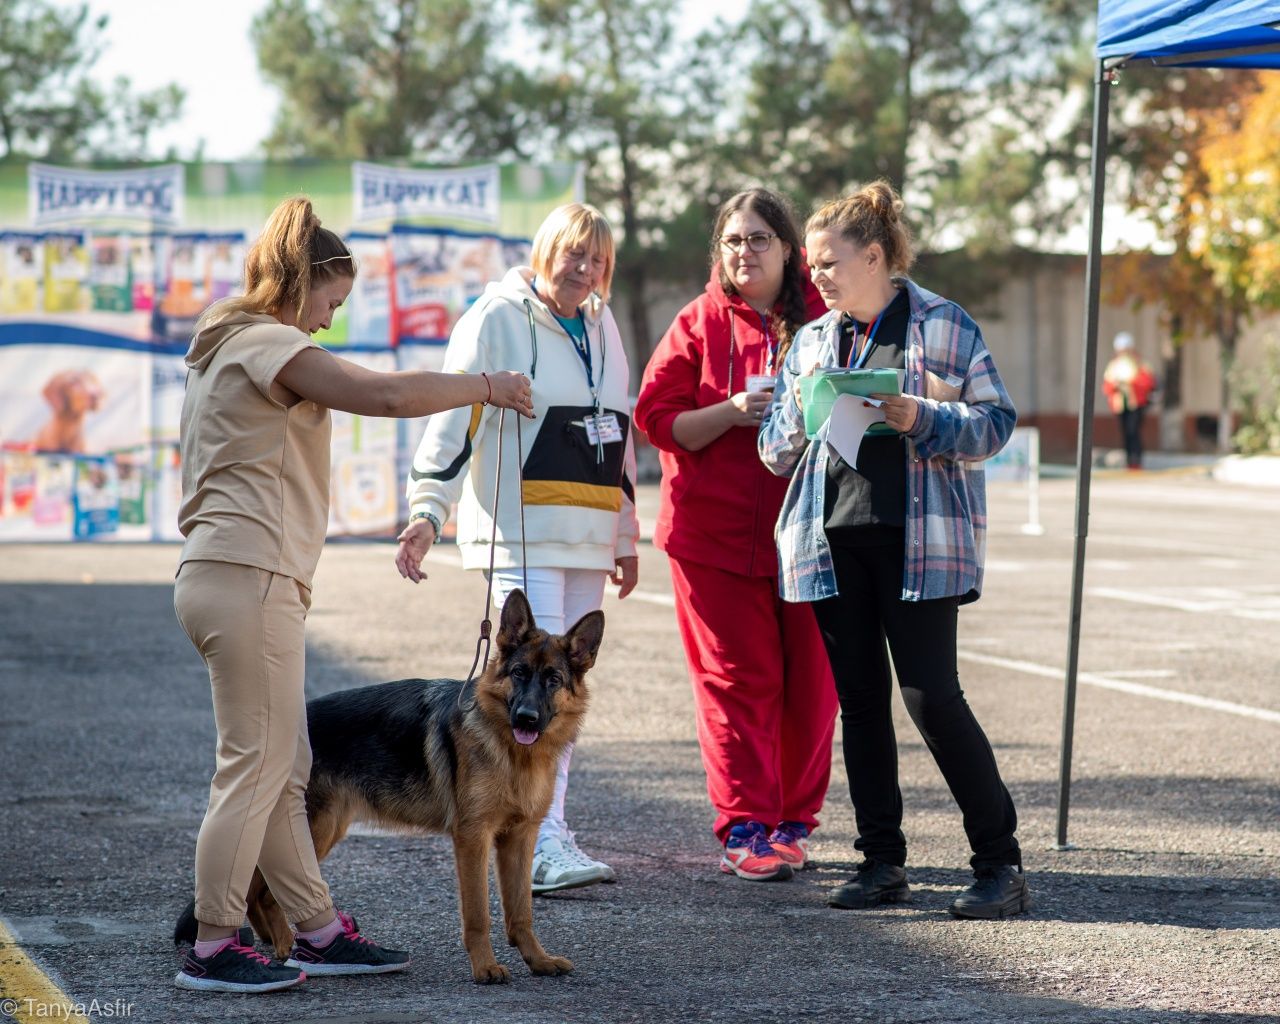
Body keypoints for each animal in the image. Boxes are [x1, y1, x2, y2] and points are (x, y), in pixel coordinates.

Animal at [172, 591, 601, 983]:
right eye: (519, 674)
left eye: (553, 680)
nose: (526, 718)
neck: (512, 752)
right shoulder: (473, 839)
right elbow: (478, 913)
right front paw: (484, 967)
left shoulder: (520, 838)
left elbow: (521, 912)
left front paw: (538, 960)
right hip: (311, 827)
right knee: (262, 892)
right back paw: (284, 947)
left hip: (320, 828)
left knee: (255, 891)